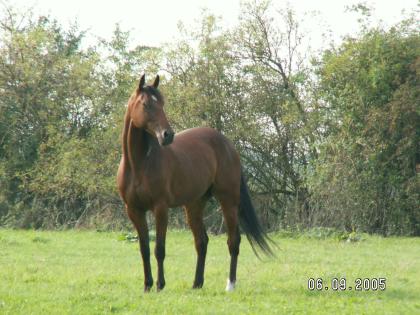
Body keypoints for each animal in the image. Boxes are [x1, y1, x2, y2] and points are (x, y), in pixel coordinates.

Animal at [115, 74, 272, 294]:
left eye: (162, 104)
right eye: (146, 104)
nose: (167, 135)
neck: (139, 164)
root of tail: (227, 144)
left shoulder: (160, 208)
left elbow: (159, 249)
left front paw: (160, 285)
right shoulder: (134, 210)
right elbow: (144, 249)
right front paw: (147, 285)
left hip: (228, 200)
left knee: (233, 241)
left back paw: (230, 284)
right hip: (194, 204)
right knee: (202, 241)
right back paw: (197, 283)